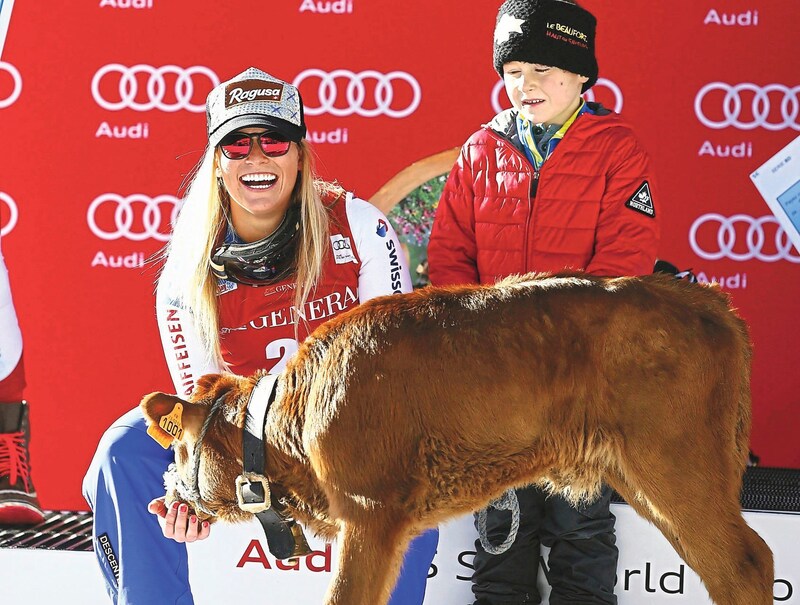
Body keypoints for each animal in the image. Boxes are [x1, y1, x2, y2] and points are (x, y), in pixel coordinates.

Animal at [144, 272, 776, 604]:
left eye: (179, 446)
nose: (166, 493)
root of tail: (701, 297)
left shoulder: (370, 511)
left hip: (676, 463)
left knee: (744, 563)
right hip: (645, 477)